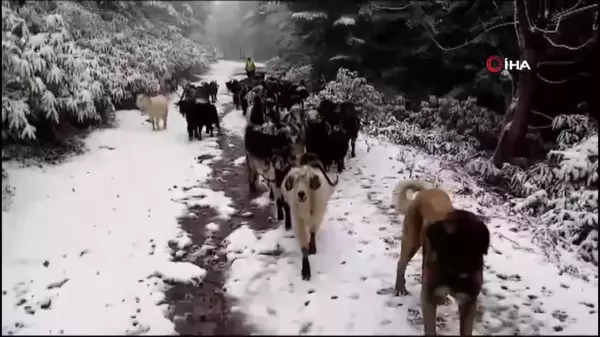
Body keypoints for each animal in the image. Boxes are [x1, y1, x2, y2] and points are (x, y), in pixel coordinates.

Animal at [392, 178, 490, 334]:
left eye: (475, 244)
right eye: (449, 242)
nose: (467, 268)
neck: (454, 275)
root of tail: (426, 191)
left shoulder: (468, 302)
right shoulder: (428, 300)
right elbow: (431, 329)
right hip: (411, 241)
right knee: (401, 263)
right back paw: (400, 287)